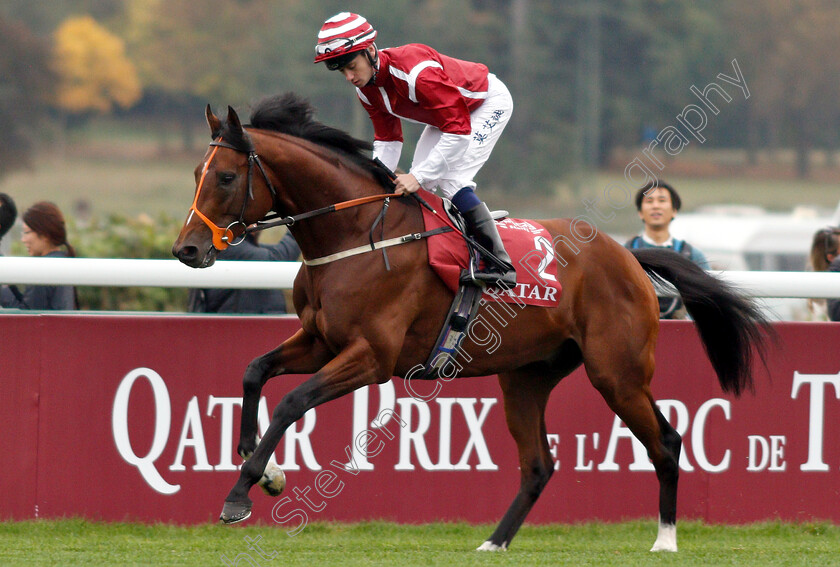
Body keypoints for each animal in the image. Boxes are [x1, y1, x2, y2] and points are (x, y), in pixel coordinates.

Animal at [172, 94, 768, 556]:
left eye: (226, 176)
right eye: (196, 175)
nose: (186, 250)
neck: (356, 234)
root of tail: (629, 257)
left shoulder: (371, 357)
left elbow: (292, 402)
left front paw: (241, 494)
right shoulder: (321, 341)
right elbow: (254, 371)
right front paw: (265, 469)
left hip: (617, 373)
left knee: (666, 442)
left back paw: (665, 539)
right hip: (526, 376)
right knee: (538, 464)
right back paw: (494, 542)